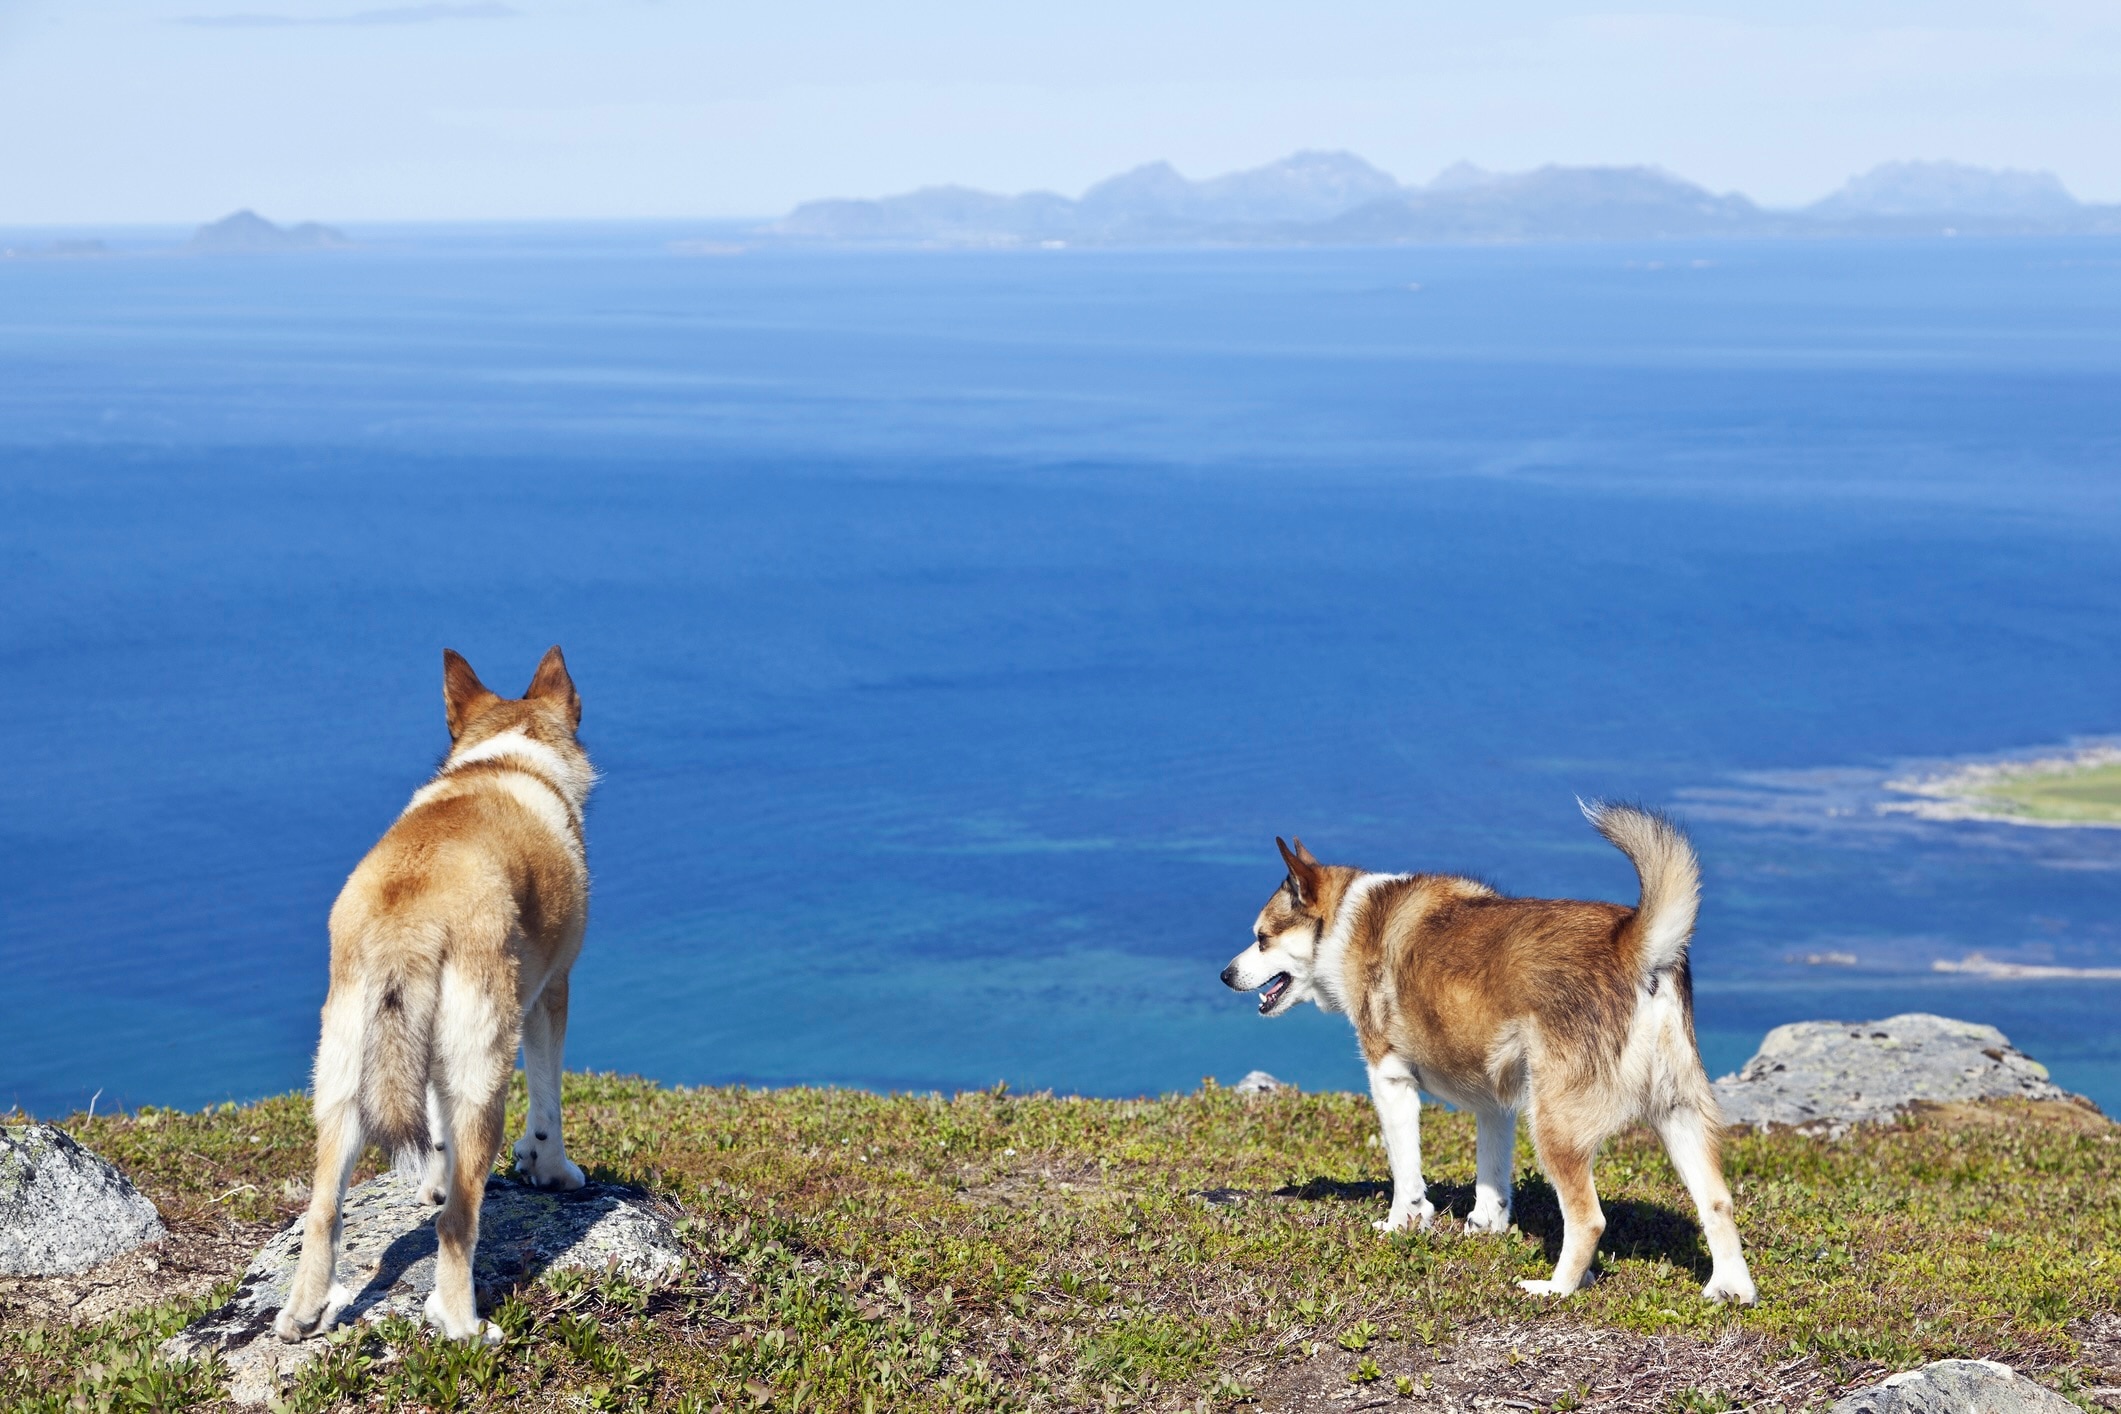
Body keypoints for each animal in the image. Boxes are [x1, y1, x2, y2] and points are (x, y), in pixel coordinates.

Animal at [271, 648, 598, 1348]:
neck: (510, 757)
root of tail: (411, 912)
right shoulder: (550, 996)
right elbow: (549, 1102)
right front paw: (553, 1172)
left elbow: (431, 1127)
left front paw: (432, 1183)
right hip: (483, 1074)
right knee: (459, 1225)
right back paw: (464, 1325)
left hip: (342, 1073)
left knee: (322, 1210)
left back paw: (305, 1314)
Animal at [1230, 805, 1756, 1305]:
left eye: (1261, 938)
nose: (1224, 974)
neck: (1346, 921)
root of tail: (1634, 946)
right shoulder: (1495, 1098)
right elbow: (1493, 1174)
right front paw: (1486, 1225)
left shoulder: (1390, 1082)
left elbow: (1405, 1172)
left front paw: (1403, 1224)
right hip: (1677, 1113)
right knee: (1718, 1203)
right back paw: (1731, 1290)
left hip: (1555, 1126)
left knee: (1589, 1220)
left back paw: (1557, 1288)